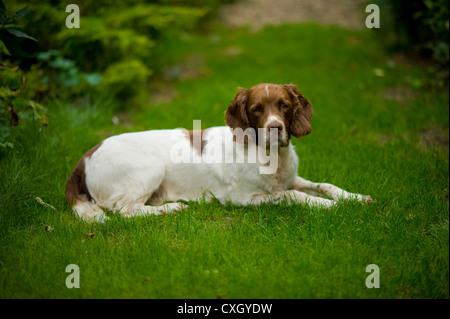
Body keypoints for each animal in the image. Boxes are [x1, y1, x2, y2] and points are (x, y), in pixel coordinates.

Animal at [65, 83, 370, 222]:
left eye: (284, 105)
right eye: (257, 108)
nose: (275, 128)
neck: (270, 156)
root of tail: (82, 160)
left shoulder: (291, 178)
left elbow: (324, 185)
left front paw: (354, 197)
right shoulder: (241, 198)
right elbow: (291, 196)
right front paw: (327, 205)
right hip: (149, 168)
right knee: (125, 210)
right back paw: (172, 207)